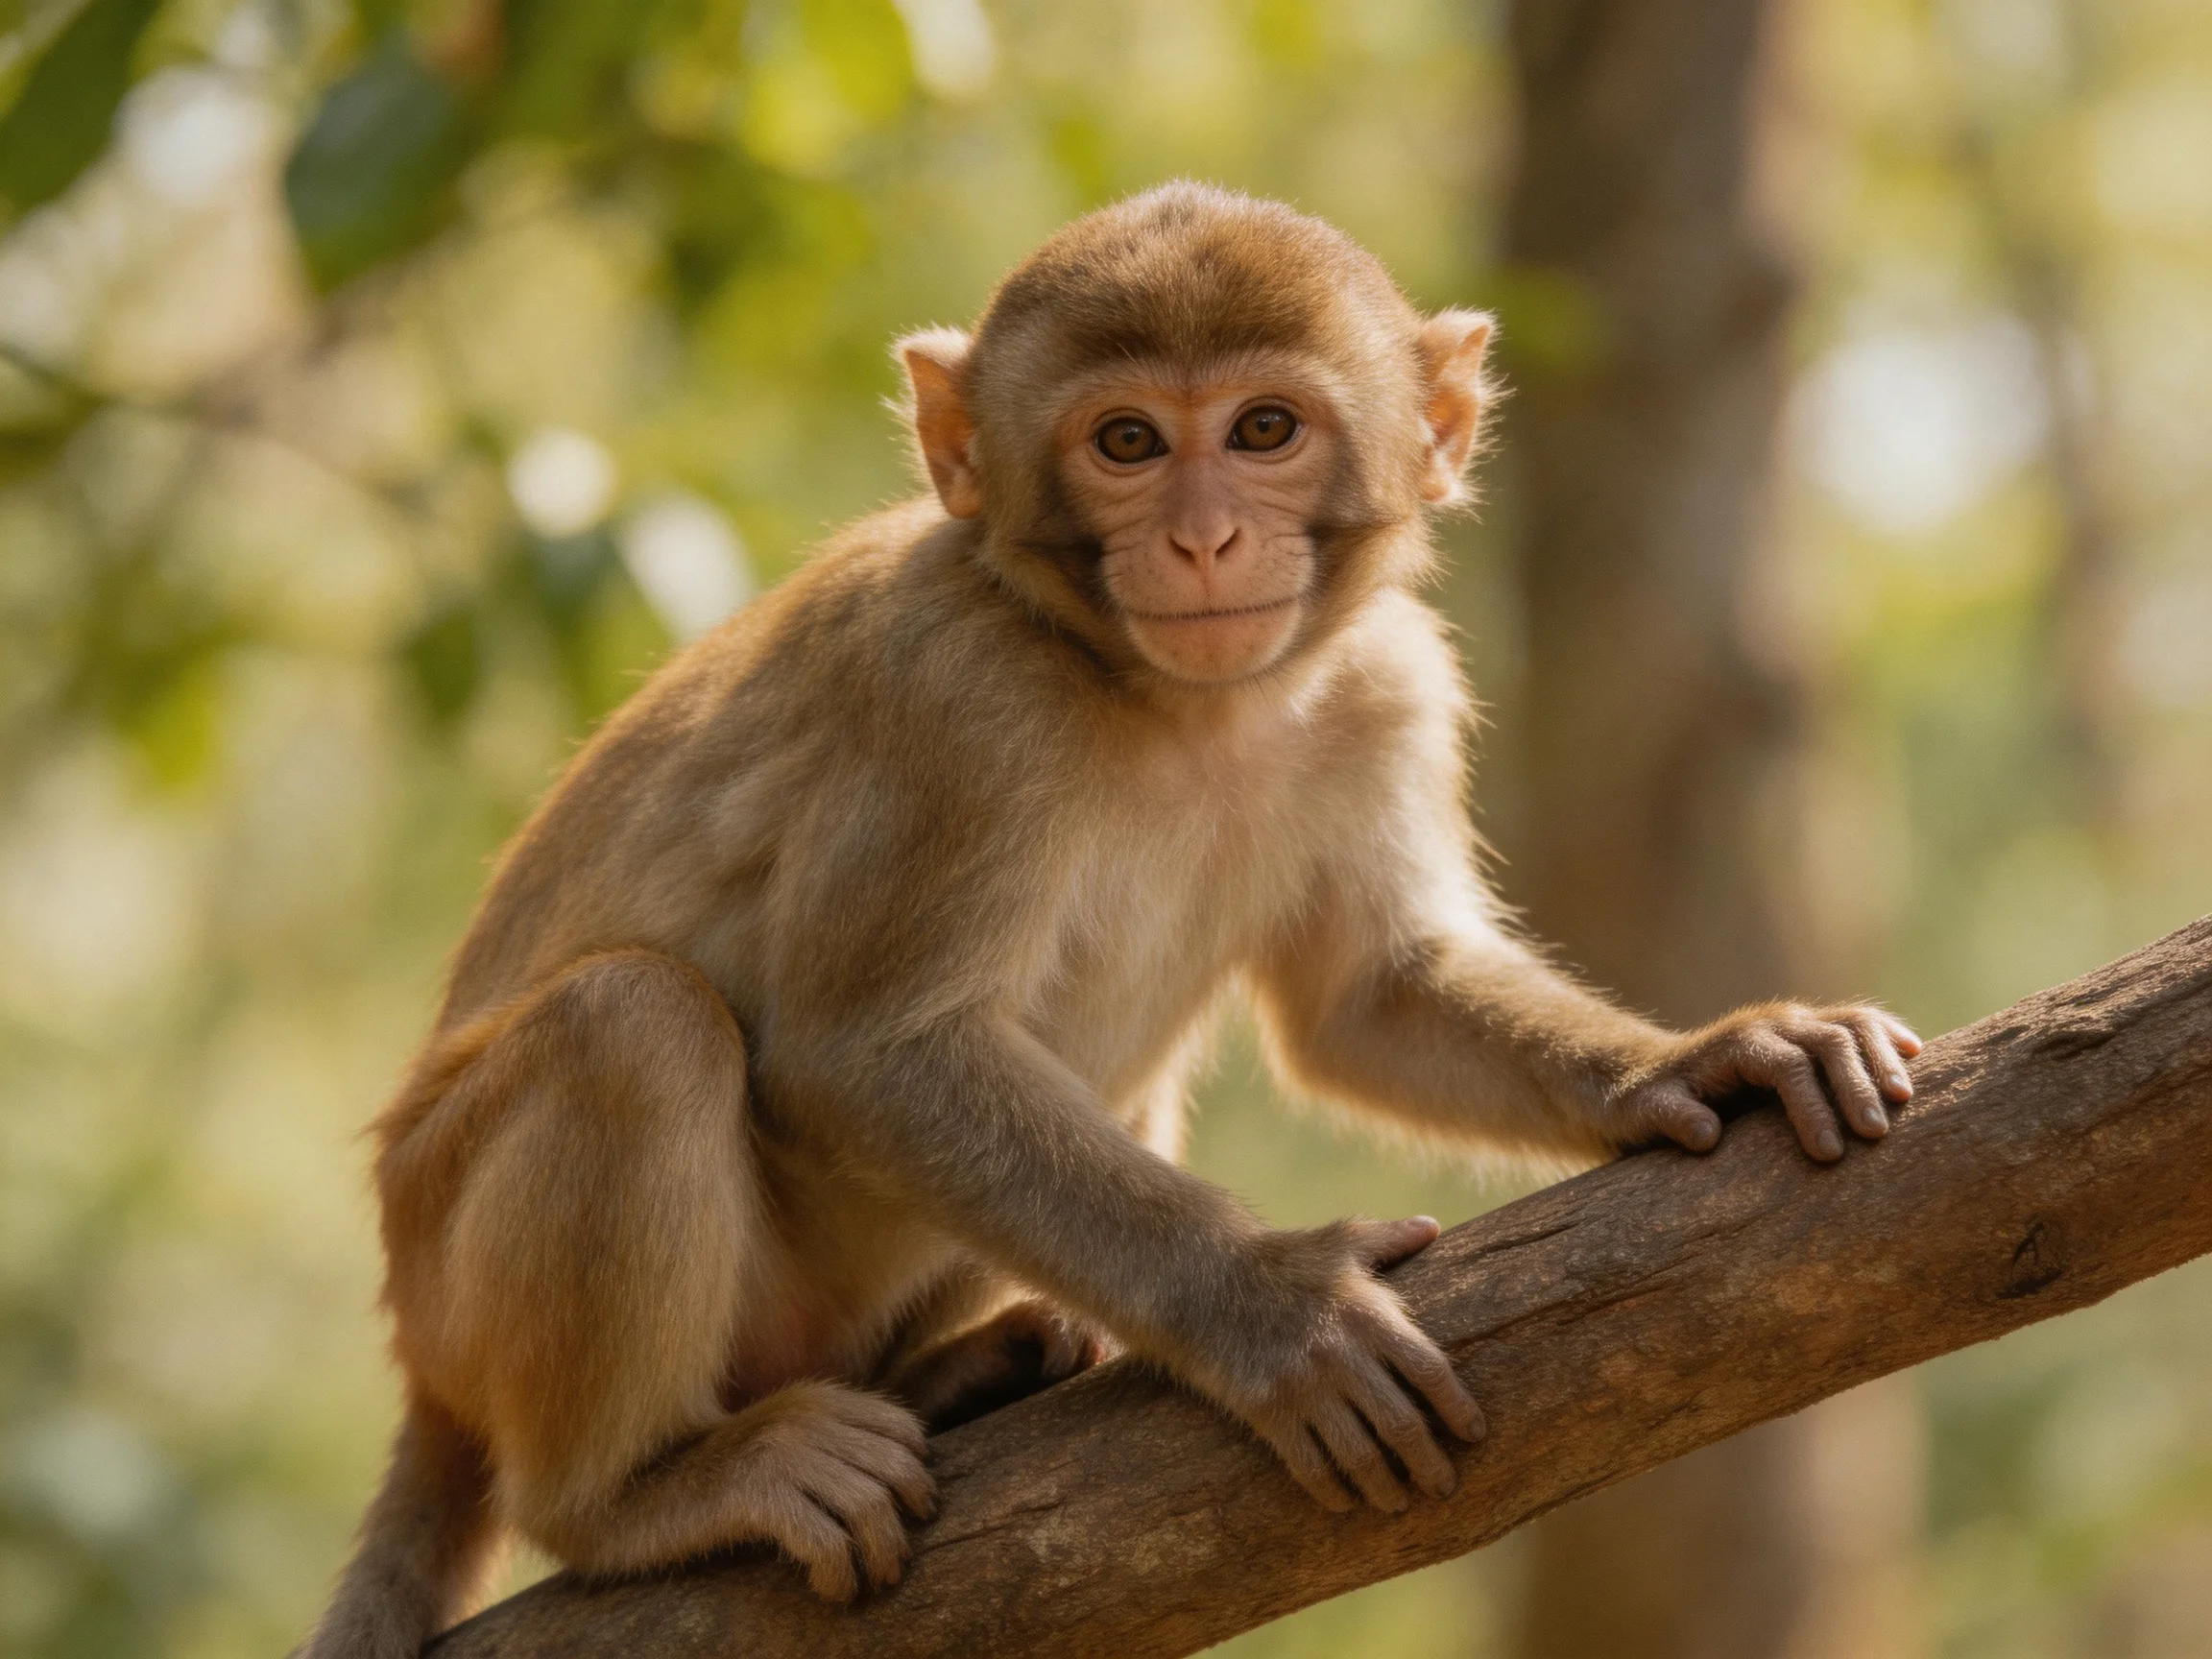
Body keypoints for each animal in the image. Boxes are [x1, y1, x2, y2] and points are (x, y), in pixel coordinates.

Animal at [299, 183, 1923, 1658]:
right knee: (627, 1025)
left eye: (1263, 431)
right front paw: (1272, 1309)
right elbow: (868, 1048)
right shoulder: (956, 697)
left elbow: (1368, 998)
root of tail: (424, 1369)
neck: (1178, 703)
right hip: (446, 1264)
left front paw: (1698, 1059)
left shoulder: (1390, 680)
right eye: (1127, 443)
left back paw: (961, 1373)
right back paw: (640, 1490)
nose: (1203, 541)